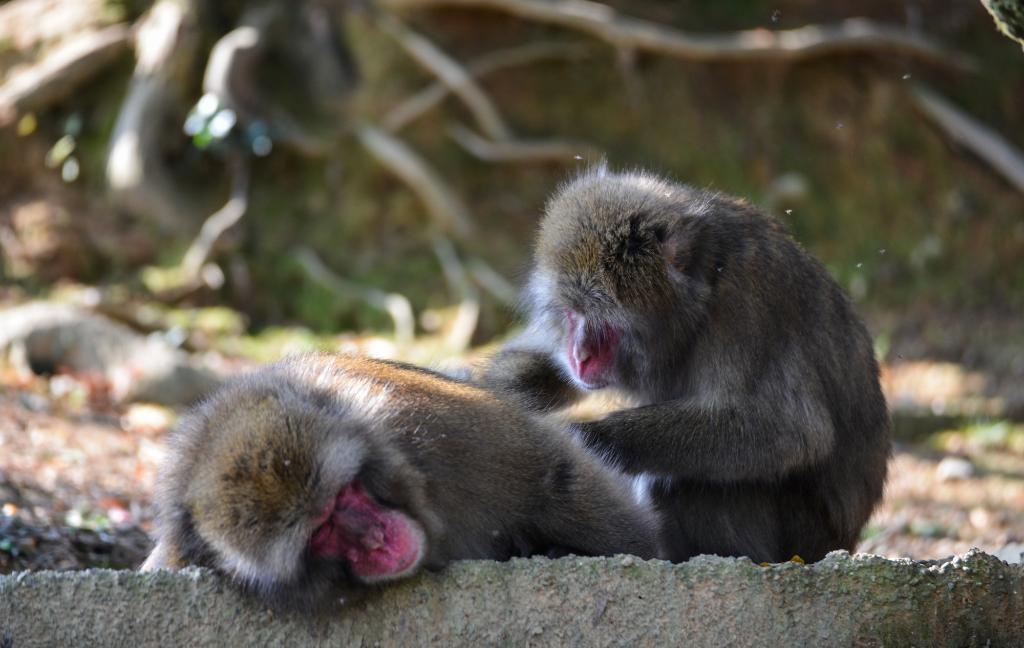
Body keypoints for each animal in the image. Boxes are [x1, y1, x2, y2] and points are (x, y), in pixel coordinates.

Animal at [479, 166, 888, 565]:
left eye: (603, 323)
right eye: (570, 313)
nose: (579, 356)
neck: (708, 282)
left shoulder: (746, 305)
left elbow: (790, 430)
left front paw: (589, 440)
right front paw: (501, 397)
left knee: (692, 480)